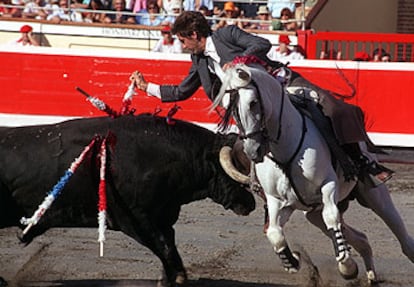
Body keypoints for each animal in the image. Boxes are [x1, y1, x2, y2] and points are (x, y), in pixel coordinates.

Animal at [0, 115, 256, 287]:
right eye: (232, 170)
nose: (251, 203)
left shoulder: (162, 218)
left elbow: (169, 245)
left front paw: (168, 279)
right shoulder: (136, 219)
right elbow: (164, 246)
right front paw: (178, 278)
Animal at [213, 63, 414, 286]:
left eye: (253, 103)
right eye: (227, 107)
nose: (252, 150)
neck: (284, 148)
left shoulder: (328, 185)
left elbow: (332, 217)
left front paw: (346, 266)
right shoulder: (277, 201)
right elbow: (274, 232)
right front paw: (293, 260)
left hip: (373, 194)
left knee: (399, 233)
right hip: (312, 213)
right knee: (360, 238)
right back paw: (370, 274)